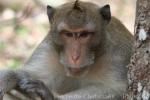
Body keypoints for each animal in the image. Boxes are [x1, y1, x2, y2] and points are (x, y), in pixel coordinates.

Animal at [0, 0, 133, 99]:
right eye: (68, 34)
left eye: (84, 34)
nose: (75, 56)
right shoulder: (48, 50)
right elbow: (27, 74)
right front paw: (9, 78)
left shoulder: (117, 55)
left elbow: (117, 90)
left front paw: (50, 96)